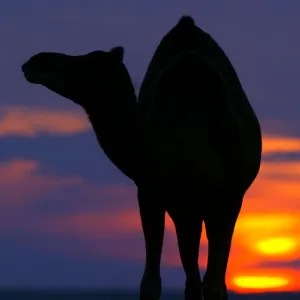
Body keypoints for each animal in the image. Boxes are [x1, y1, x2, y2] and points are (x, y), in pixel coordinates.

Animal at [21, 15, 262, 300]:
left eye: (86, 62)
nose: (34, 62)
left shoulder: (151, 190)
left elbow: (150, 283)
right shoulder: (182, 201)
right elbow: (187, 280)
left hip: (225, 198)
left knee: (211, 280)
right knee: (204, 278)